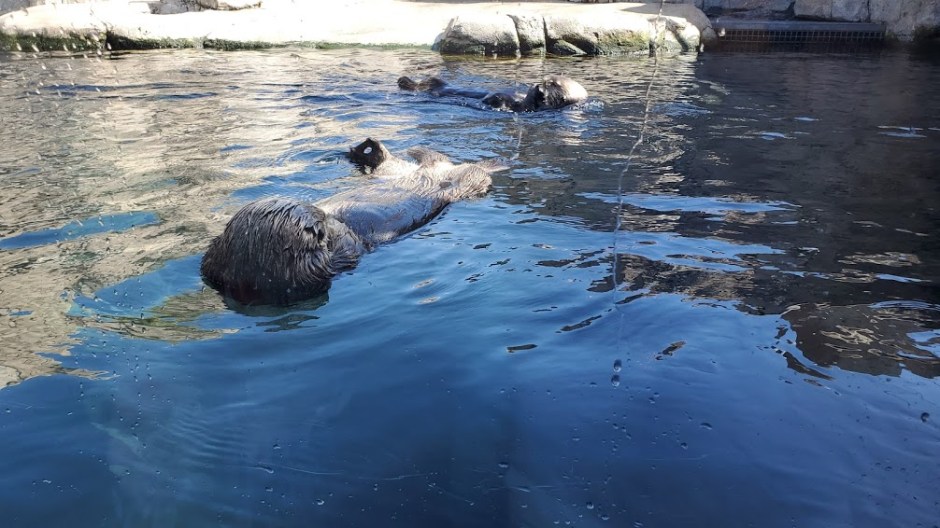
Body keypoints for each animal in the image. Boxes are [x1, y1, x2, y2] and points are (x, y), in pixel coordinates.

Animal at [201, 138, 507, 306]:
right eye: (317, 224)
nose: (321, 212)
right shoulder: (340, 253)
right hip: (464, 181)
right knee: (465, 168)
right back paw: (496, 162)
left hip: (394, 171)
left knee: (407, 158)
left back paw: (369, 149)